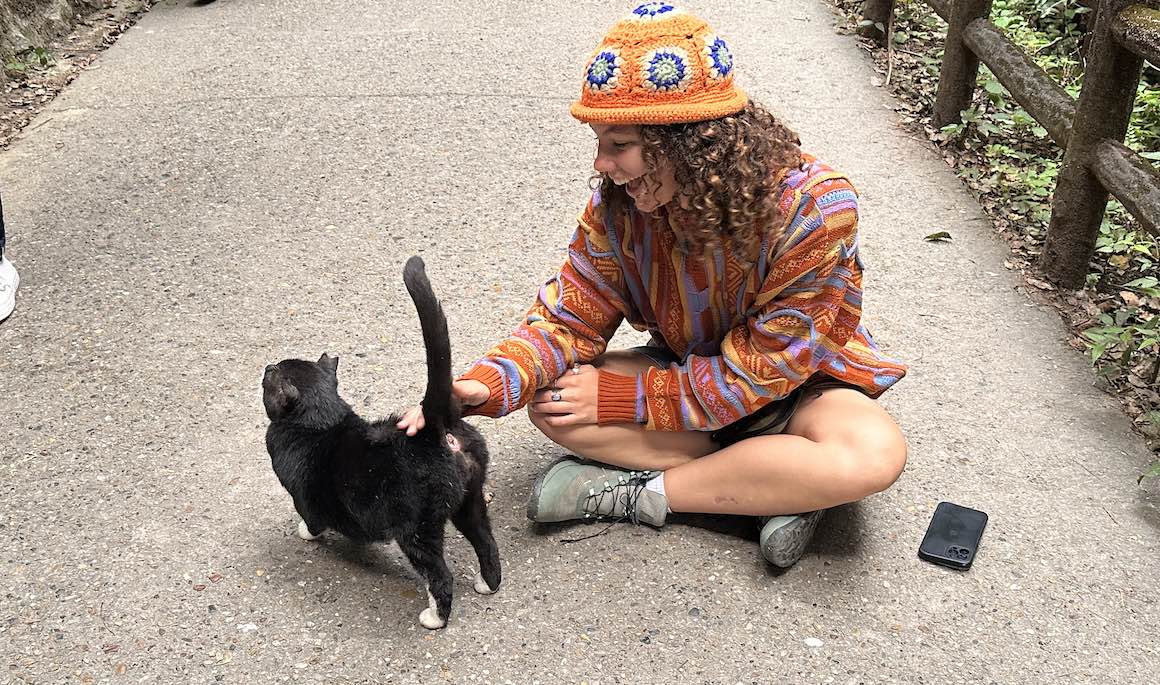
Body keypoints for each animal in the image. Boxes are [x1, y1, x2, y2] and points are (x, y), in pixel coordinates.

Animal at [263, 256, 498, 625]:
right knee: (487, 543)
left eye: (268, 377)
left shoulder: (302, 494)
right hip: (469, 500)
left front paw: (305, 532)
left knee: (439, 575)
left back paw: (435, 618)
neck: (323, 419)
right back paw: (487, 584)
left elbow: (311, 518)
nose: (268, 364)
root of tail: (433, 430)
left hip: (417, 527)